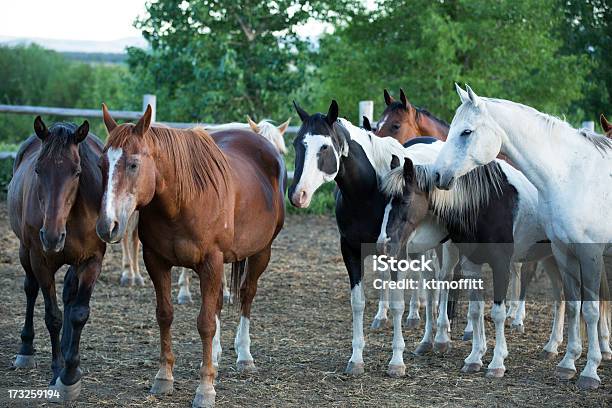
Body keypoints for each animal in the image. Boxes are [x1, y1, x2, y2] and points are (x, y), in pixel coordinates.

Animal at [7, 116, 106, 400]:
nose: (51, 237)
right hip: (24, 251)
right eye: (39, 169)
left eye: (77, 172)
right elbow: (53, 316)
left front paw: (71, 372)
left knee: (69, 294)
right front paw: (57, 371)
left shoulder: (92, 260)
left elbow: (79, 313)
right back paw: (26, 349)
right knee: (30, 289)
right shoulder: (40, 260)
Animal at [96, 103, 286, 406]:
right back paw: (217, 357)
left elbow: (205, 323)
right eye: (102, 165)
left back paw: (244, 356)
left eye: (134, 164)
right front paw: (164, 377)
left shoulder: (211, 262)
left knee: (247, 295)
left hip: (260, 252)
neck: (181, 200)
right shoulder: (156, 261)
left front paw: (205, 389)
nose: (107, 225)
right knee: (219, 301)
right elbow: (165, 315)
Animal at [432, 85, 608, 388]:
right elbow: (575, 306)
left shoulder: (590, 254)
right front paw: (568, 364)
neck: (573, 176)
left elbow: (591, 310)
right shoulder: (564, 252)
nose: (439, 175)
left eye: (466, 131)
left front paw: (589, 372)